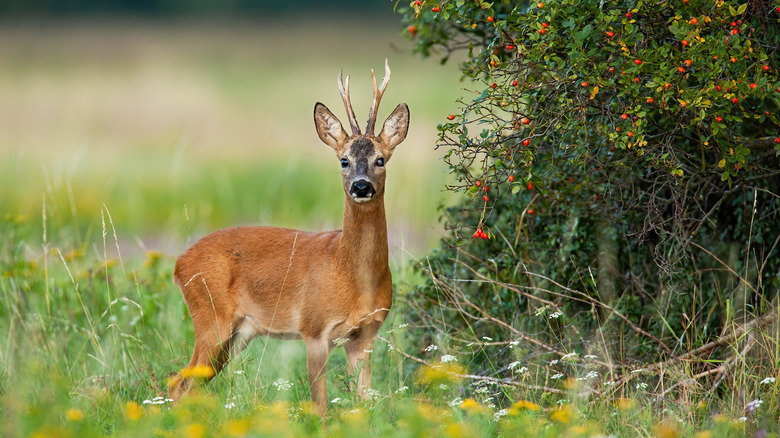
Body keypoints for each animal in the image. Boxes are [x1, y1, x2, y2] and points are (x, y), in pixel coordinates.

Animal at [168, 60, 412, 414]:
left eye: (380, 159)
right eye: (344, 160)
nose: (361, 186)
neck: (350, 273)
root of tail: (178, 263)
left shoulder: (365, 336)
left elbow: (364, 402)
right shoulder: (314, 330)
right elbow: (320, 407)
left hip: (237, 334)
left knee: (186, 384)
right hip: (210, 318)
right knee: (178, 383)